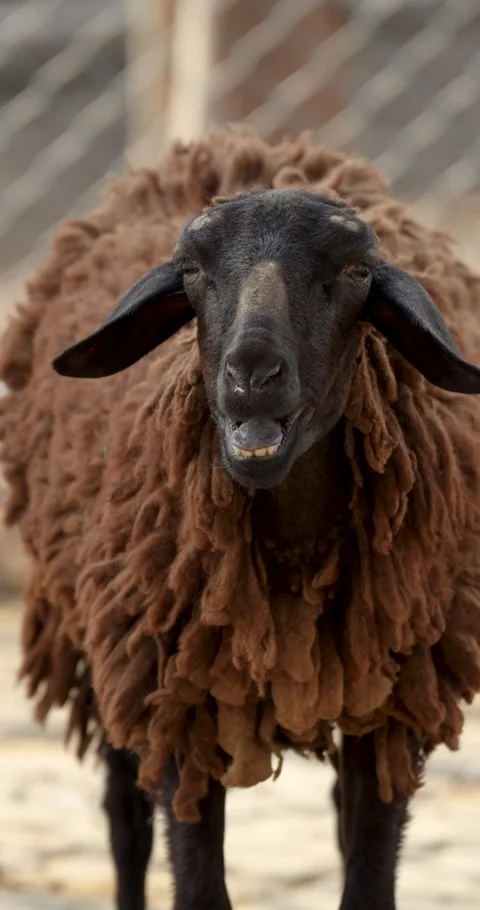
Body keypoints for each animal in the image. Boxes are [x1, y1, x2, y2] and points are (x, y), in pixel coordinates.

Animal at [2, 128, 480, 910]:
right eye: (193, 271)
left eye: (356, 272)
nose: (251, 372)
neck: (294, 553)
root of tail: (238, 145)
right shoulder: (174, 700)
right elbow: (198, 885)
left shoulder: (391, 706)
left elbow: (368, 879)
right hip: (104, 648)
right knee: (124, 822)